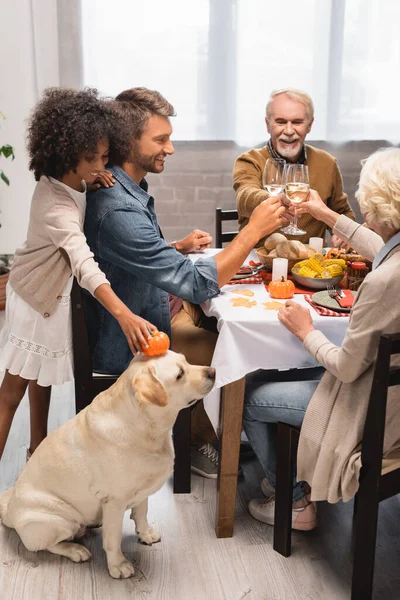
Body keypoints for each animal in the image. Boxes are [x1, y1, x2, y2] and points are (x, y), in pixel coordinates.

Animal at [0, 352, 216, 576]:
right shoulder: (114, 501)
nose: (213, 371)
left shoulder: (142, 490)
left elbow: (142, 513)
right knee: (45, 545)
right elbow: (113, 538)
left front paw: (145, 534)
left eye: (186, 360)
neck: (147, 428)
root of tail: (9, 512)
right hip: (59, 520)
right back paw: (75, 550)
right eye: (179, 374)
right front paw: (118, 565)